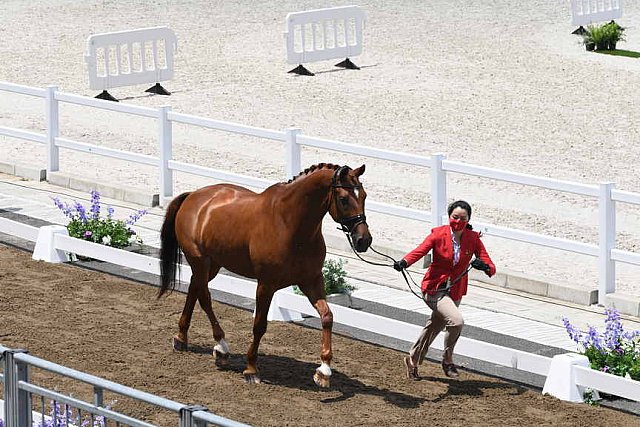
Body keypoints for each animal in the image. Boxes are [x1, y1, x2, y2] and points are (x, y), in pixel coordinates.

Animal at [158, 163, 372, 388]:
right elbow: (259, 325)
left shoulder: (311, 281)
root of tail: (193, 196)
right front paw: (251, 369)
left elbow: (327, 317)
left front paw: (323, 371)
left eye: (364, 196)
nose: (363, 240)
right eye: (344, 199)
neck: (290, 224)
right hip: (200, 261)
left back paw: (182, 338)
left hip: (213, 265)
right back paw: (221, 346)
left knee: (194, 288)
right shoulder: (266, 285)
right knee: (204, 297)